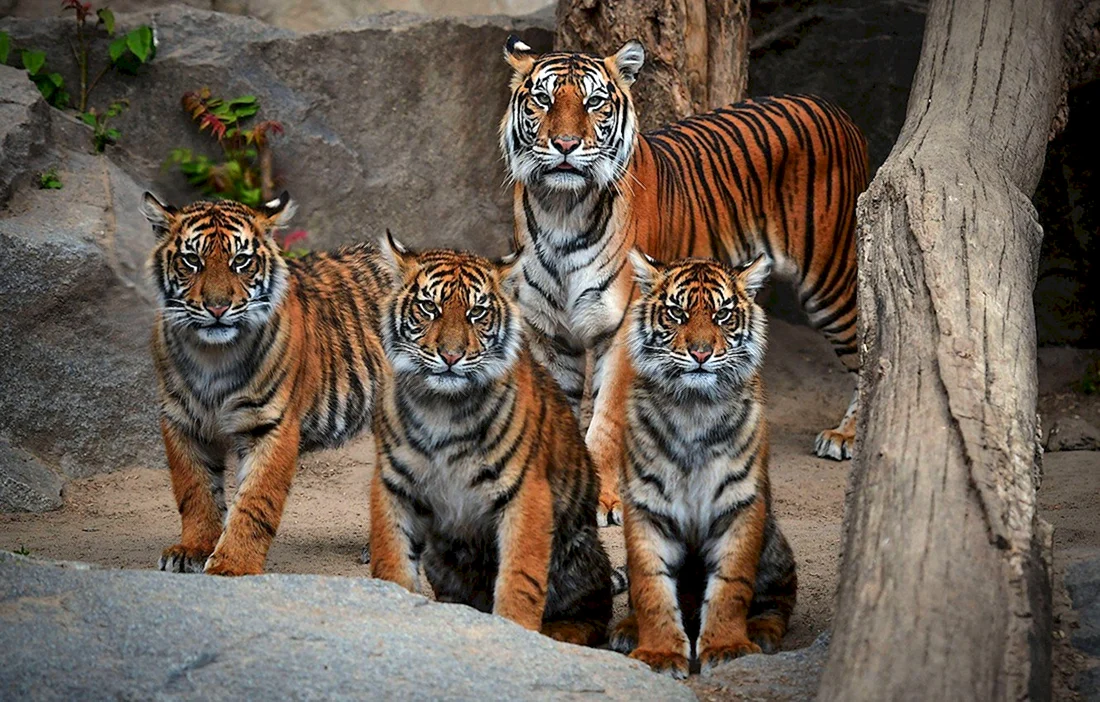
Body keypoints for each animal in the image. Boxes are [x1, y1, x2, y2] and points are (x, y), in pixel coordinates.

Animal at [141, 192, 389, 576]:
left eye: (240, 261)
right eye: (192, 260)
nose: (217, 307)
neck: (213, 356)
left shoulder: (272, 425)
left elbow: (255, 502)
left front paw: (232, 565)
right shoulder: (182, 421)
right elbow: (195, 491)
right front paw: (193, 550)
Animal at [368, 236, 613, 646]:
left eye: (477, 312)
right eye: (429, 307)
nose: (451, 356)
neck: (442, 407)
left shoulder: (526, 493)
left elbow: (520, 579)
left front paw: (514, 632)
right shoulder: (393, 484)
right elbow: (391, 561)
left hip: (577, 556)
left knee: (594, 611)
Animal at [499, 37, 869, 525]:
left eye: (594, 102)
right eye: (542, 99)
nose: (565, 144)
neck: (561, 207)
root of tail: (835, 108)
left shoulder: (623, 326)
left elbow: (606, 419)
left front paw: (602, 498)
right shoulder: (546, 330)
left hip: (831, 281)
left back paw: (846, 436)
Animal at [609, 252, 797, 678]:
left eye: (723, 314)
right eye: (676, 313)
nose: (700, 353)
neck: (693, 408)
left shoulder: (741, 503)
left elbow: (731, 583)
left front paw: (729, 647)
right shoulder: (646, 505)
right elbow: (650, 585)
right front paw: (659, 653)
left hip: (775, 543)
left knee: (781, 598)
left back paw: (761, 631)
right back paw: (626, 628)